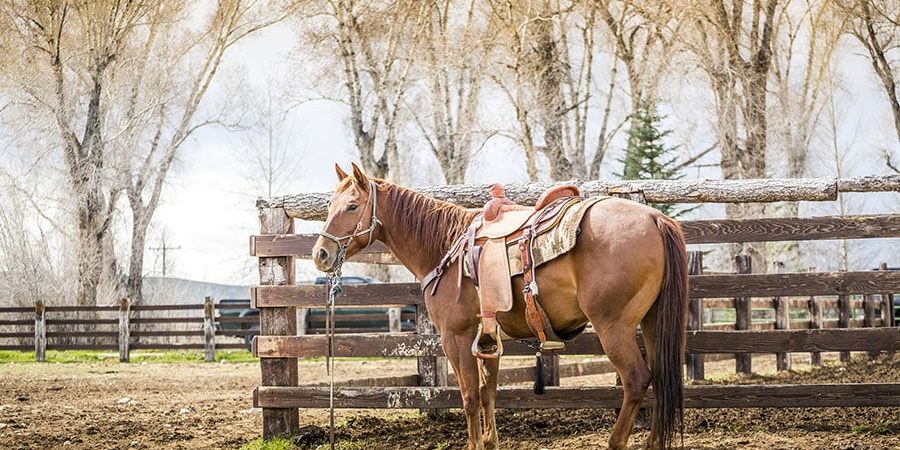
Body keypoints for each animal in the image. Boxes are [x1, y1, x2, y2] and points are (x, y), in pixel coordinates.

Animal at [312, 163, 684, 450]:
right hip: (652, 323)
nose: (321, 254)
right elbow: (488, 391)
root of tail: (655, 219)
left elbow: (469, 396)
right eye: (330, 206)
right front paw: (490, 441)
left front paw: (475, 443)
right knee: (661, 377)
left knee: (636, 379)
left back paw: (616, 442)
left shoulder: (456, 336)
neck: (445, 245)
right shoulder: (488, 338)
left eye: (352, 206)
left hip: (613, 327)